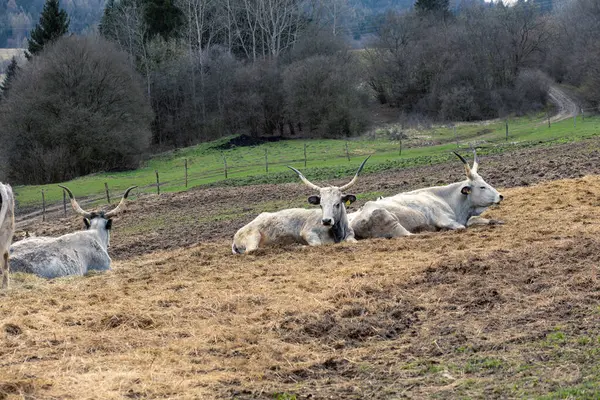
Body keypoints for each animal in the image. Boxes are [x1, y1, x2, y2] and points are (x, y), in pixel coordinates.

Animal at [231, 157, 368, 253]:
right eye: (321, 205)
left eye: (337, 204)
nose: (326, 221)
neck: (337, 232)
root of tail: (237, 234)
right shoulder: (307, 232)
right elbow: (317, 244)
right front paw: (300, 246)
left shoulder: (350, 235)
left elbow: (354, 241)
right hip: (253, 237)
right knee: (252, 250)